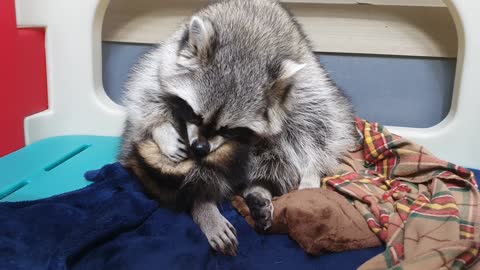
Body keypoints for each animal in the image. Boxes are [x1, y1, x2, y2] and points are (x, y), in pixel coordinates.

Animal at [118, 0, 354, 256]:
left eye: (228, 129)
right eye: (194, 114)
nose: (199, 148)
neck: (247, 46)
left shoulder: (303, 88)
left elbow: (319, 124)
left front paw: (311, 171)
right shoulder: (167, 61)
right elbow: (148, 91)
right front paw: (163, 130)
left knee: (280, 148)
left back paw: (259, 188)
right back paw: (203, 202)